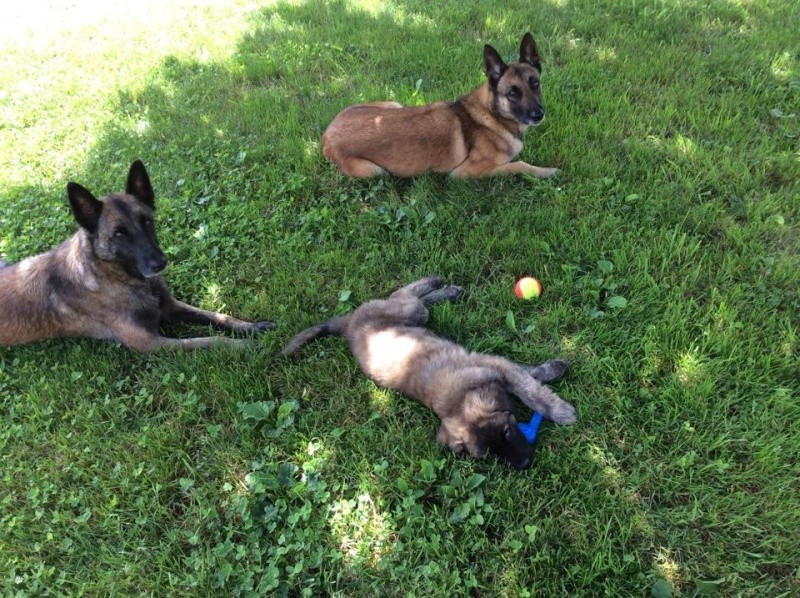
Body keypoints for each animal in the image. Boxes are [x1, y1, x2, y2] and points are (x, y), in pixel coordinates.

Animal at [0, 162, 276, 354]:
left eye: (147, 222)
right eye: (119, 234)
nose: (160, 263)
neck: (116, 276)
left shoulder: (170, 306)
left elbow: (218, 317)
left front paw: (251, 328)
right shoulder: (149, 343)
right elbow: (209, 340)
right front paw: (242, 346)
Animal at [282, 278, 576, 472]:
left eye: (507, 432)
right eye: (490, 456)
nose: (525, 464)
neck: (457, 400)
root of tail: (349, 324)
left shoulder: (498, 366)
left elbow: (531, 389)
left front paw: (559, 408)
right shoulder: (495, 366)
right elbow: (528, 380)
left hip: (411, 313)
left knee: (405, 294)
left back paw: (439, 284)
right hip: (410, 314)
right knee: (408, 297)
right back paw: (445, 289)